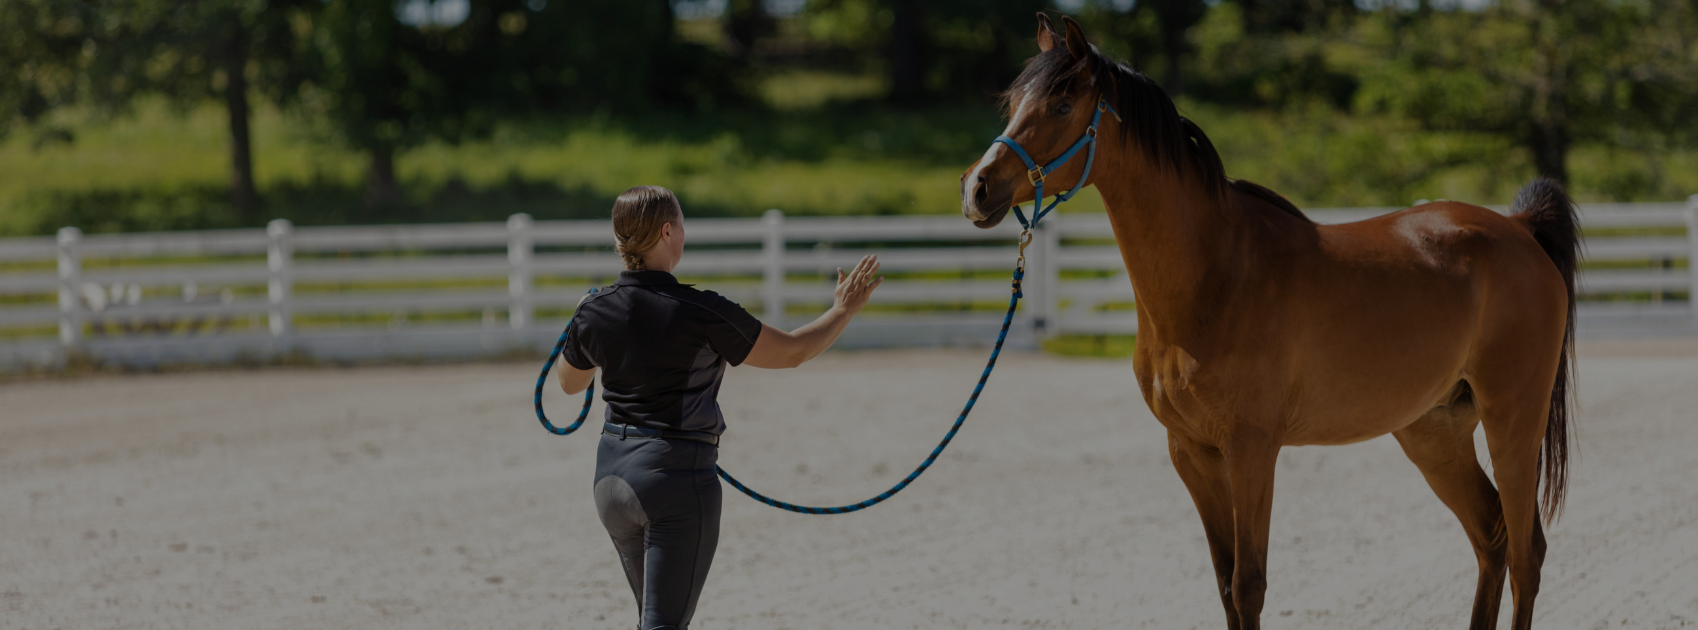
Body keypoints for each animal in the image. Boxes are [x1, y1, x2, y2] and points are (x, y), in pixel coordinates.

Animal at [960, 15, 1578, 630]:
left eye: (1062, 105)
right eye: (1013, 102)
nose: (977, 188)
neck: (1214, 276)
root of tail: (1519, 229)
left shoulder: (1252, 450)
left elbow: (1248, 585)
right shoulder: (1191, 453)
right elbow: (1224, 583)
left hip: (1511, 423)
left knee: (1526, 553)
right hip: (1434, 432)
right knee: (1491, 538)